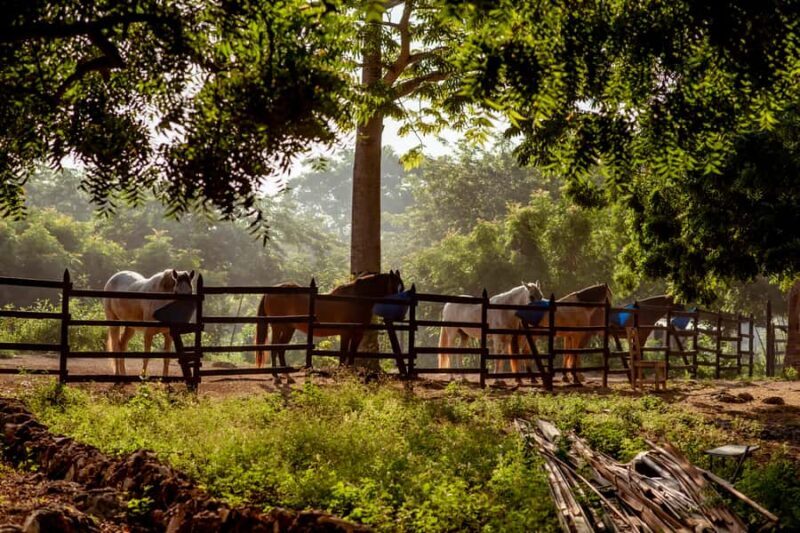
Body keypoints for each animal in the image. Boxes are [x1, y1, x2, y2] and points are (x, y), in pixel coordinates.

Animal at [254, 271, 404, 379]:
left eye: (402, 288)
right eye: (395, 288)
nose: (401, 315)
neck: (355, 299)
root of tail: (270, 292)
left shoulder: (357, 334)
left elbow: (351, 355)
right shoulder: (345, 333)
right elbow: (343, 354)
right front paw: (342, 373)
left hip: (288, 328)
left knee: (281, 349)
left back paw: (286, 375)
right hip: (277, 327)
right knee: (275, 348)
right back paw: (276, 374)